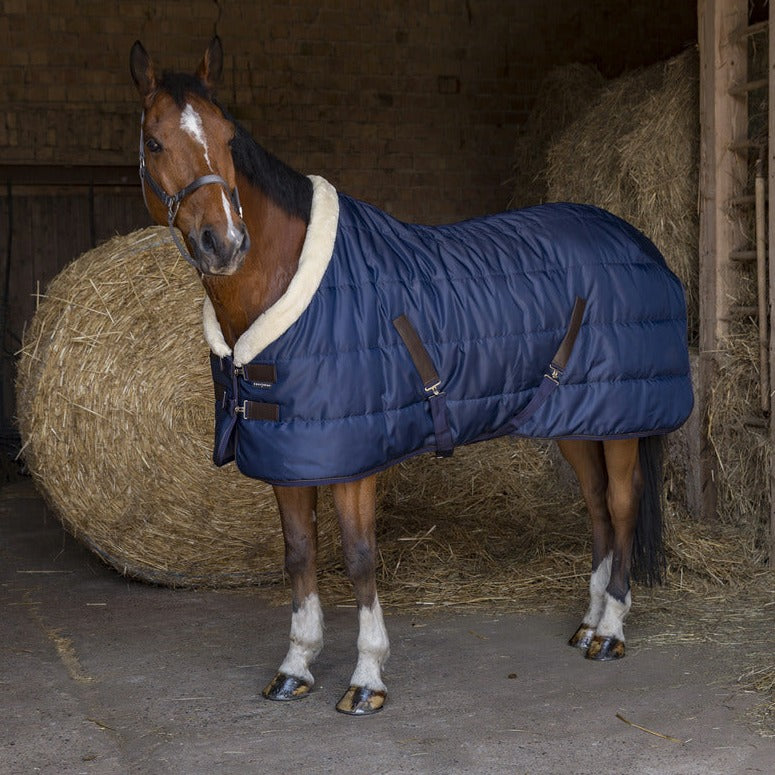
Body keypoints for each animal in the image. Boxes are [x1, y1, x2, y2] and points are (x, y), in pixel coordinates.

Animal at [130, 36, 696, 716]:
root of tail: (641, 242)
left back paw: (610, 631)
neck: (298, 285)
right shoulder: (291, 452)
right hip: (575, 420)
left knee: (620, 503)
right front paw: (296, 665)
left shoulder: (352, 460)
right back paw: (588, 623)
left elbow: (359, 557)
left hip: (620, 422)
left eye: (228, 136)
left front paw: (367, 677)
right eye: (154, 142)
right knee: (595, 508)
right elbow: (299, 554)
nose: (224, 241)